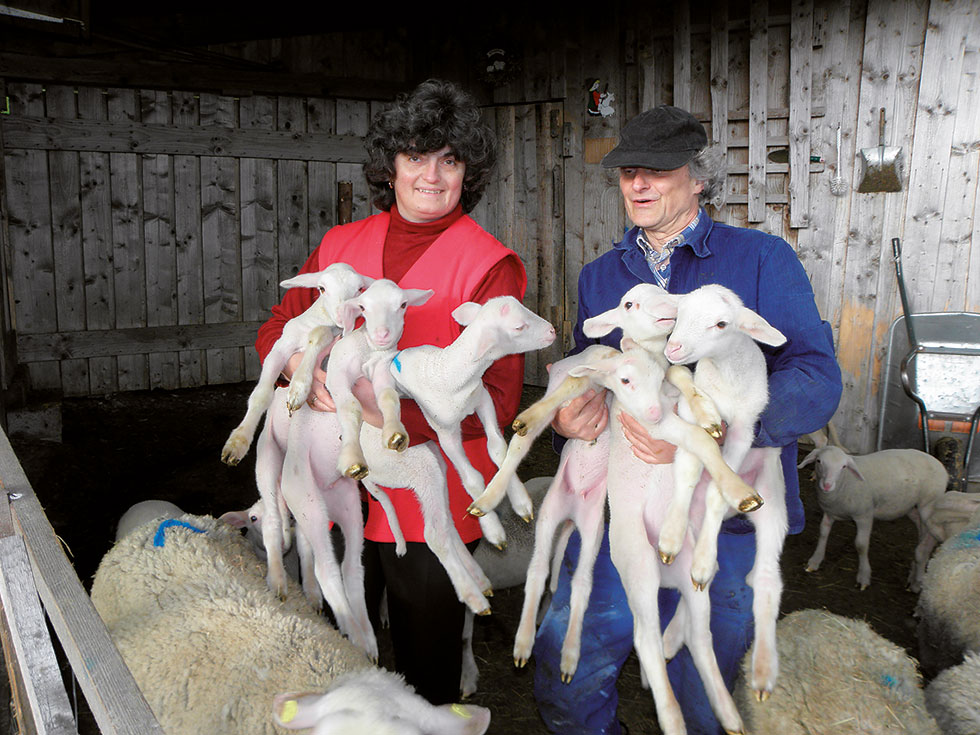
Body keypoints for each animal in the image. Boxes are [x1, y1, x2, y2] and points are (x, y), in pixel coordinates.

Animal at [796, 442, 948, 592]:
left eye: (843, 466)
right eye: (819, 461)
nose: (827, 485)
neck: (845, 481)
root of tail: (939, 465)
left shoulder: (864, 516)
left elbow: (861, 545)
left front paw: (863, 577)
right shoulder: (829, 512)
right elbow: (823, 533)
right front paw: (814, 561)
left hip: (928, 505)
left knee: (931, 534)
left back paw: (918, 578)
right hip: (909, 506)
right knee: (922, 530)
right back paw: (913, 575)